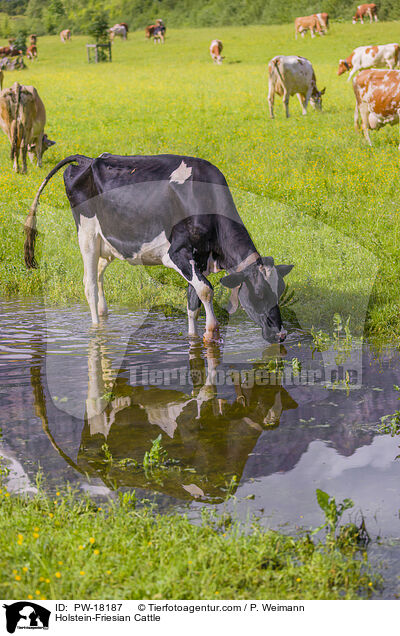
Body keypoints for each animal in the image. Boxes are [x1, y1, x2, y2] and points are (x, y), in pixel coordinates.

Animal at [25, 153, 294, 340]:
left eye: (279, 291)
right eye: (259, 293)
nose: (281, 335)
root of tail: (87, 159)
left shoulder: (199, 258)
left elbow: (193, 300)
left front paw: (193, 337)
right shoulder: (177, 254)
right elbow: (206, 291)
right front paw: (211, 332)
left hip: (108, 241)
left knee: (100, 273)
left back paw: (104, 314)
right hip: (87, 234)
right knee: (89, 284)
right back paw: (96, 328)